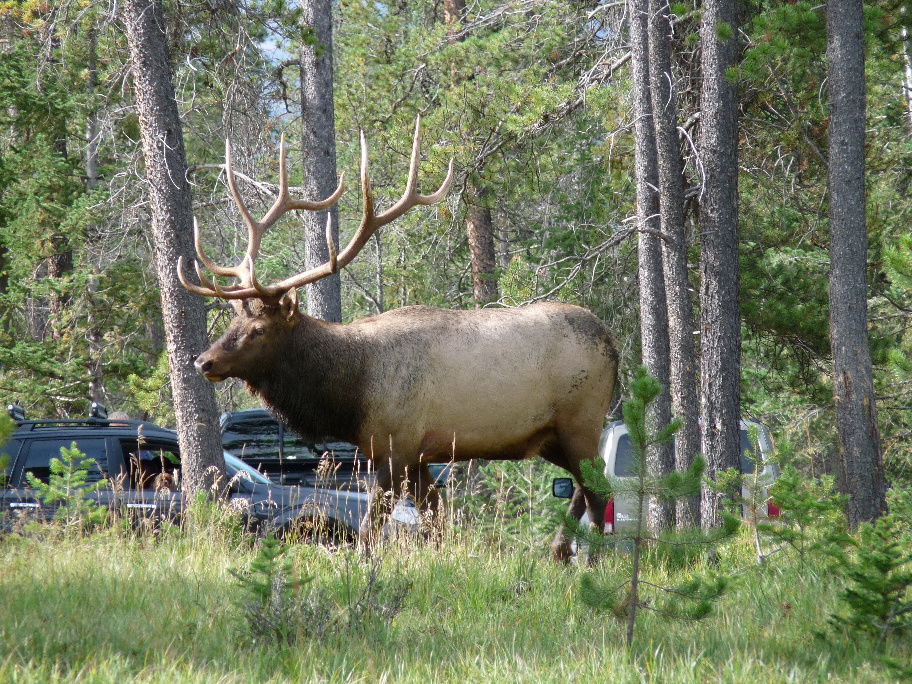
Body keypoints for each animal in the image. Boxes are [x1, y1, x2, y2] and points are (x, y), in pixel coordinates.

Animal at [180, 119, 620, 560]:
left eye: (258, 330)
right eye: (232, 323)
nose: (204, 361)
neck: (351, 392)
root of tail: (613, 344)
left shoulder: (398, 444)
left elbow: (372, 524)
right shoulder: (418, 453)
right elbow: (435, 522)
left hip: (582, 419)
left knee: (599, 492)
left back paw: (595, 561)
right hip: (550, 436)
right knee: (580, 488)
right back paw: (560, 552)